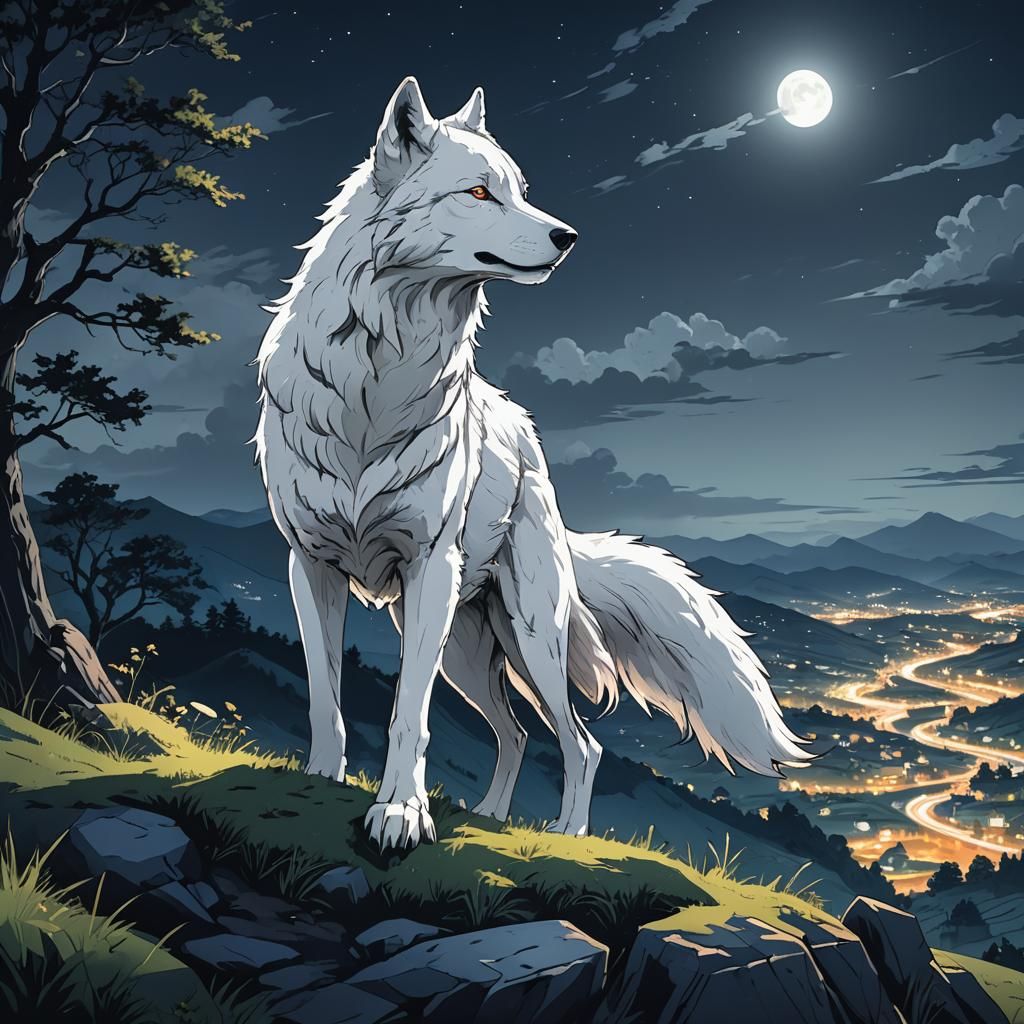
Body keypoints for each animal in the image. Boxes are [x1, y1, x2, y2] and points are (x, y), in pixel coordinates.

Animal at [254, 77, 814, 850]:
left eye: (519, 191)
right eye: (478, 192)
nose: (568, 237)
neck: (376, 384)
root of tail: (530, 445)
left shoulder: (428, 568)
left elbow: (407, 716)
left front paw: (399, 814)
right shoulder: (309, 566)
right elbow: (325, 698)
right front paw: (321, 782)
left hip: (527, 639)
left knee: (583, 744)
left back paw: (566, 834)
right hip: (465, 651)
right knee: (517, 735)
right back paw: (492, 817)